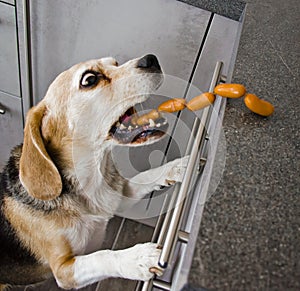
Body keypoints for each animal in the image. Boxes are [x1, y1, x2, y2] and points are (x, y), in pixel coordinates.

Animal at [0, 54, 188, 290]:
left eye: (115, 63)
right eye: (90, 80)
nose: (151, 59)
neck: (90, 178)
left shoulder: (118, 196)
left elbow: (145, 177)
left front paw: (178, 166)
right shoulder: (64, 270)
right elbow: (103, 256)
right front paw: (138, 258)